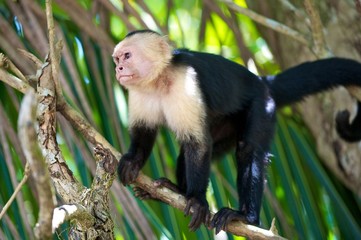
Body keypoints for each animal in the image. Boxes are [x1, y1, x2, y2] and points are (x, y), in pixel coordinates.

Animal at [112, 29, 360, 232]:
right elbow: (145, 132)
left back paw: (246, 217)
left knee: (247, 150)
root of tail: (262, 81)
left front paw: (197, 200)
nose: (118, 69)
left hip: (262, 105)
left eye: (127, 56)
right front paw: (133, 162)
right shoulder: (139, 92)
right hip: (226, 125)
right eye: (117, 59)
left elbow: (198, 144)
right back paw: (177, 191)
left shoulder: (185, 82)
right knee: (192, 151)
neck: (158, 80)